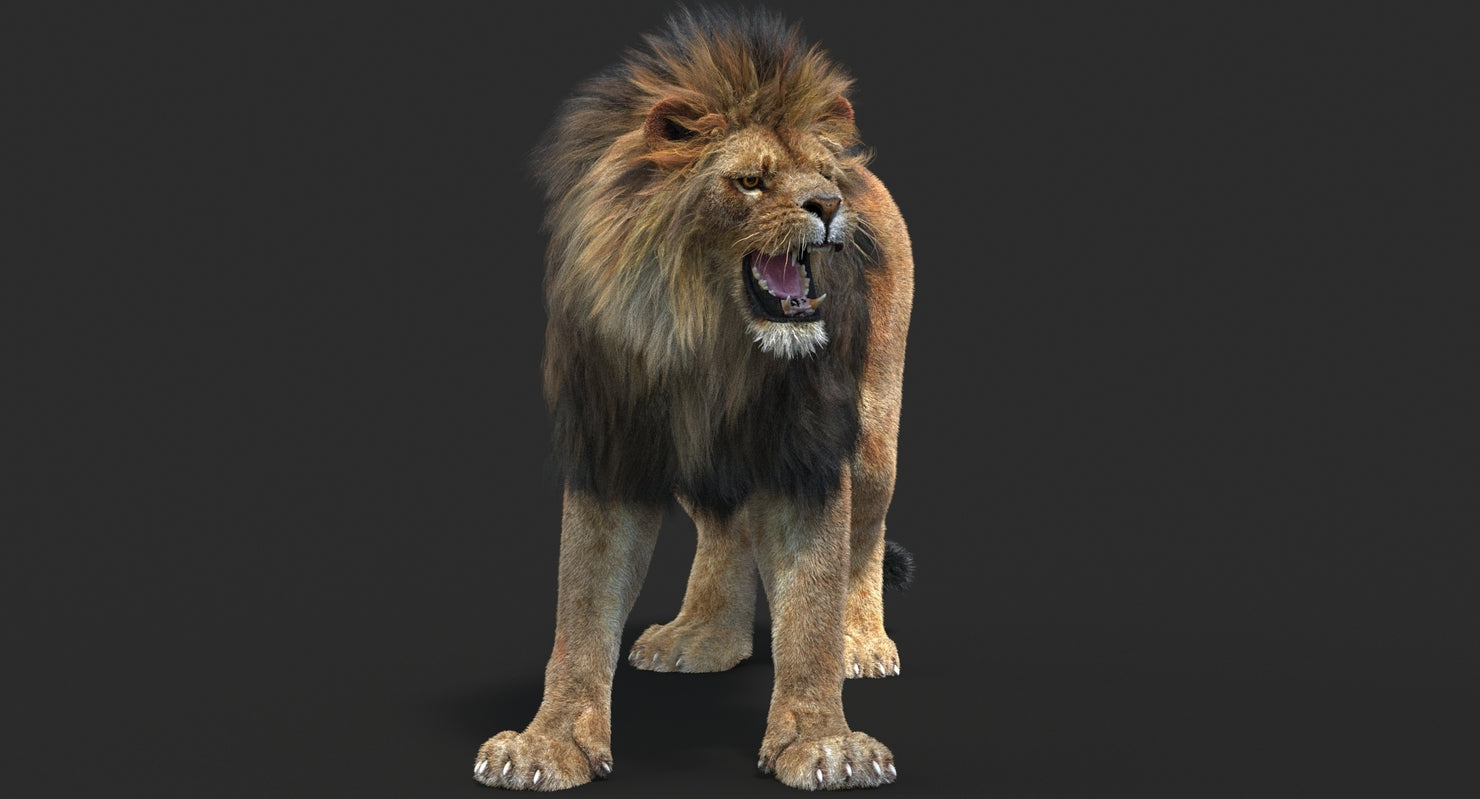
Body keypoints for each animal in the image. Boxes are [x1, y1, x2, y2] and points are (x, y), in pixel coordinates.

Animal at [474, 7, 914, 791]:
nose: (830, 205)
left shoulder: (807, 451)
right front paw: (546, 744)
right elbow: (580, 608)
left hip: (873, 436)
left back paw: (862, 642)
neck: (706, 340)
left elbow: (811, 605)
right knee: (724, 528)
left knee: (863, 537)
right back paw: (701, 636)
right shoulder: (612, 447)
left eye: (821, 176)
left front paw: (824, 744)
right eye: (750, 181)